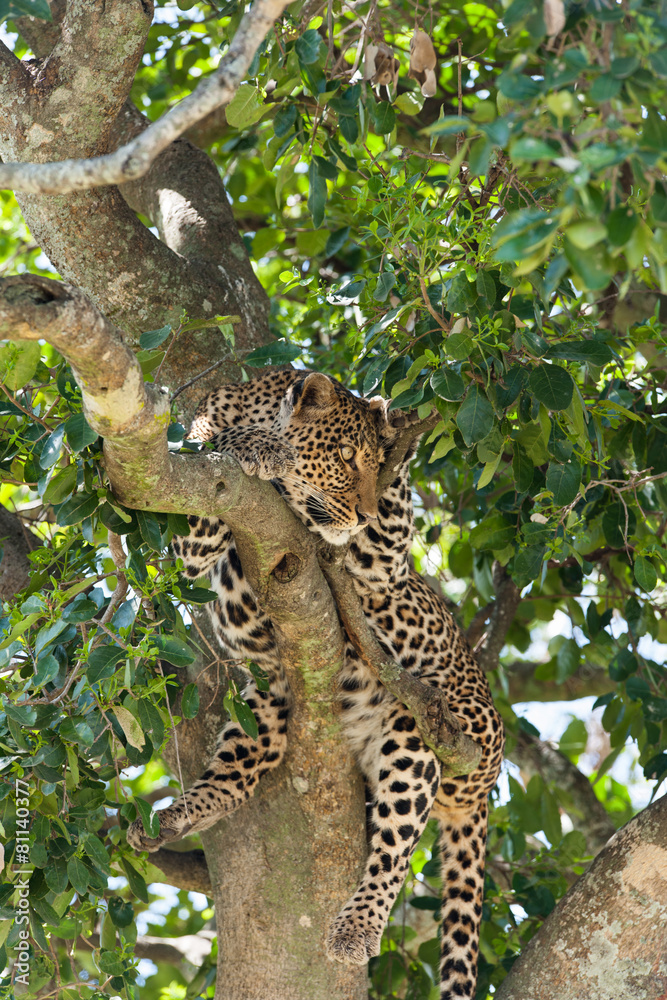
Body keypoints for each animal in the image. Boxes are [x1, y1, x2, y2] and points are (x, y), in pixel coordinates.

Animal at [127, 368, 505, 1000]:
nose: (362, 513)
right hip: (267, 707)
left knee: (394, 849)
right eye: (347, 457)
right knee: (238, 773)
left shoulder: (382, 557)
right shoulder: (191, 538)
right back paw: (177, 814)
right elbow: (202, 488)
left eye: (376, 465)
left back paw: (356, 928)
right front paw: (251, 446)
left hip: (431, 727)